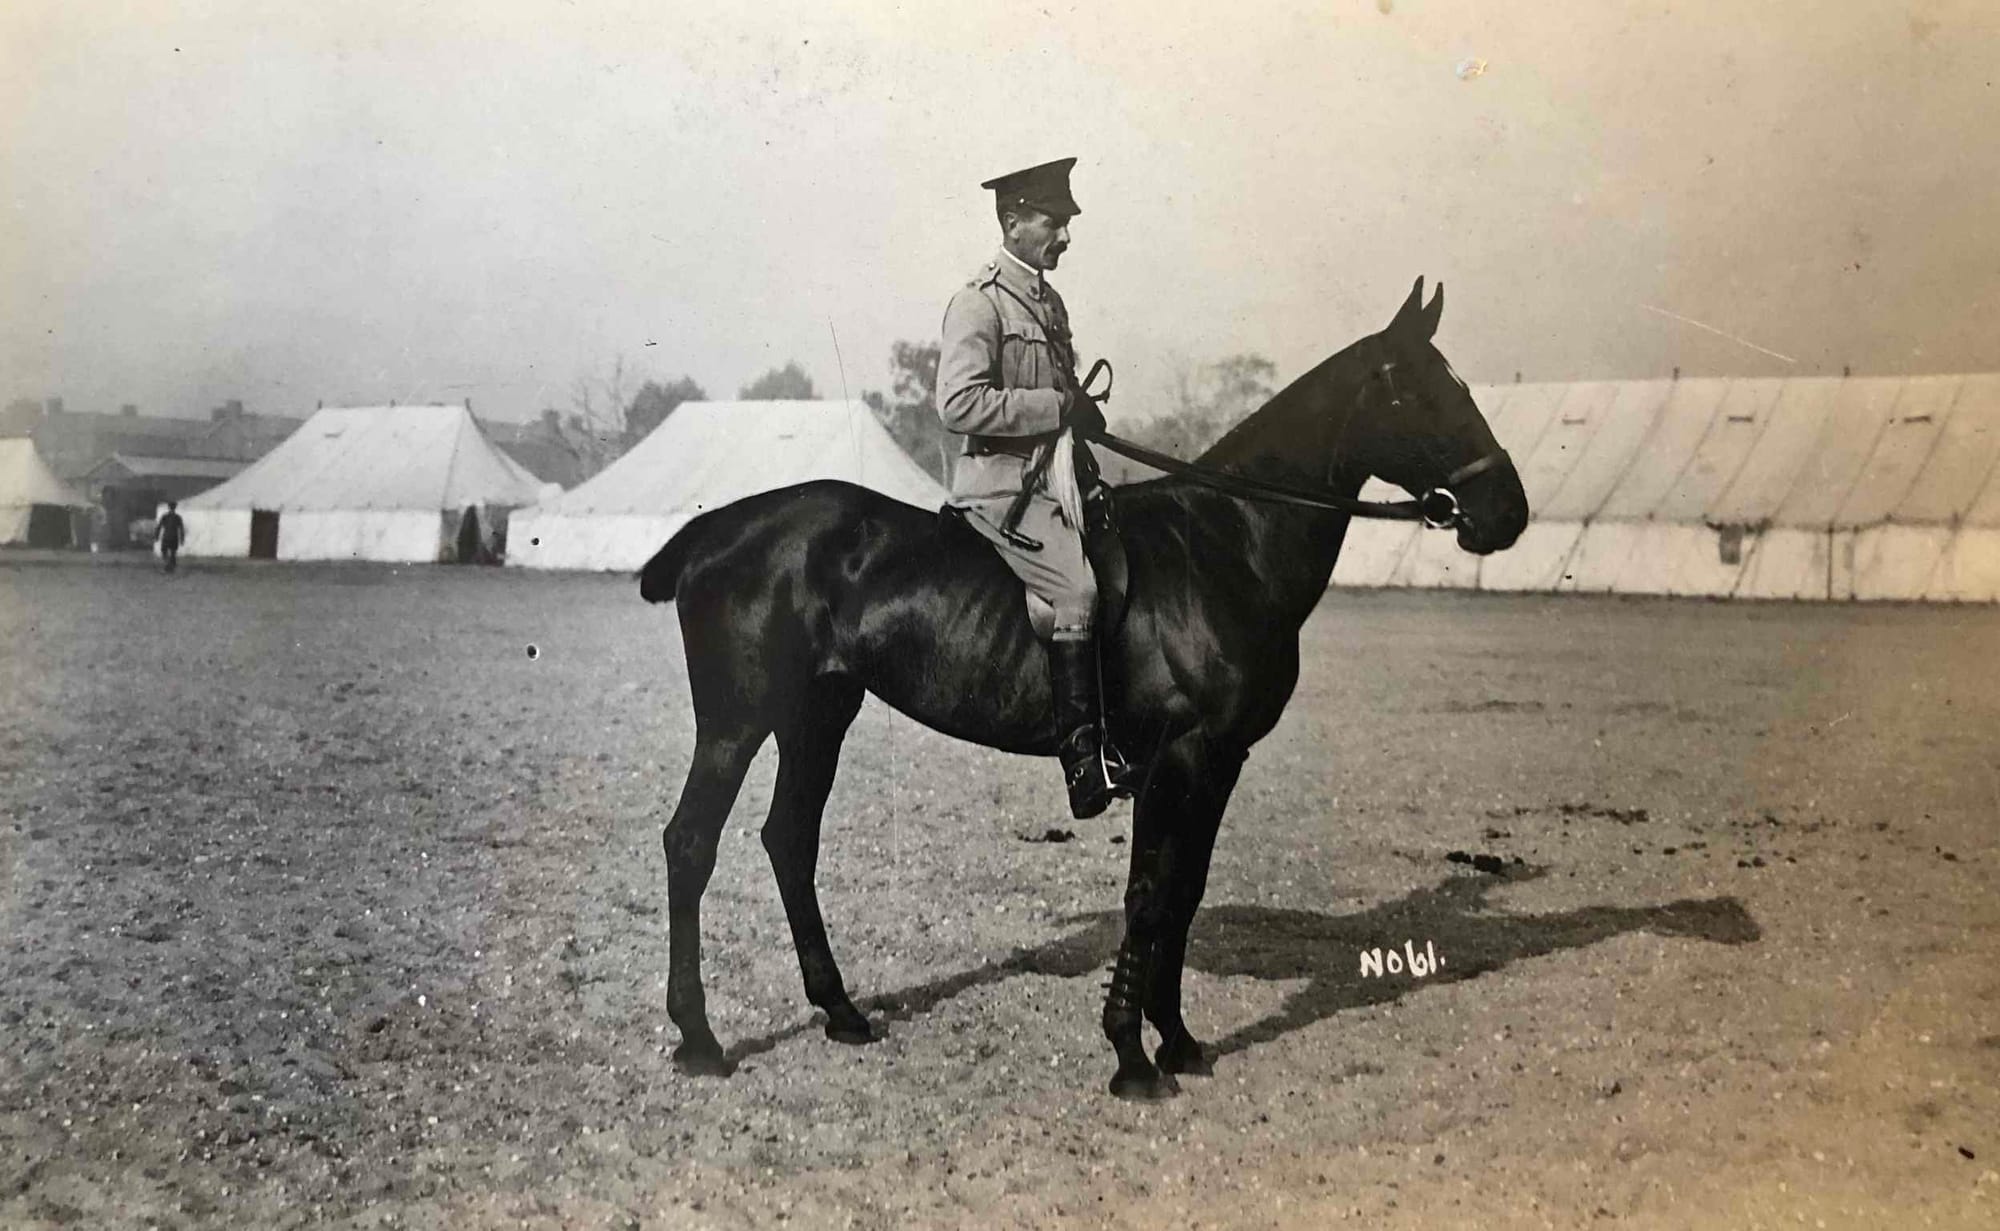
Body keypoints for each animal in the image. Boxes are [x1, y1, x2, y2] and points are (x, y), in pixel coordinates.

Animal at [640, 279, 1528, 1095]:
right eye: (1420, 387)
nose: (1507, 511)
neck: (1227, 542)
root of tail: (715, 527)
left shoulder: (1220, 760)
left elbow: (1184, 893)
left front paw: (1178, 1040)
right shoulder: (1179, 756)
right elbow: (1149, 896)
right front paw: (1132, 1055)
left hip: (817, 716)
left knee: (789, 840)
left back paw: (842, 1011)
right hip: (737, 721)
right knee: (691, 843)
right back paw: (700, 1037)